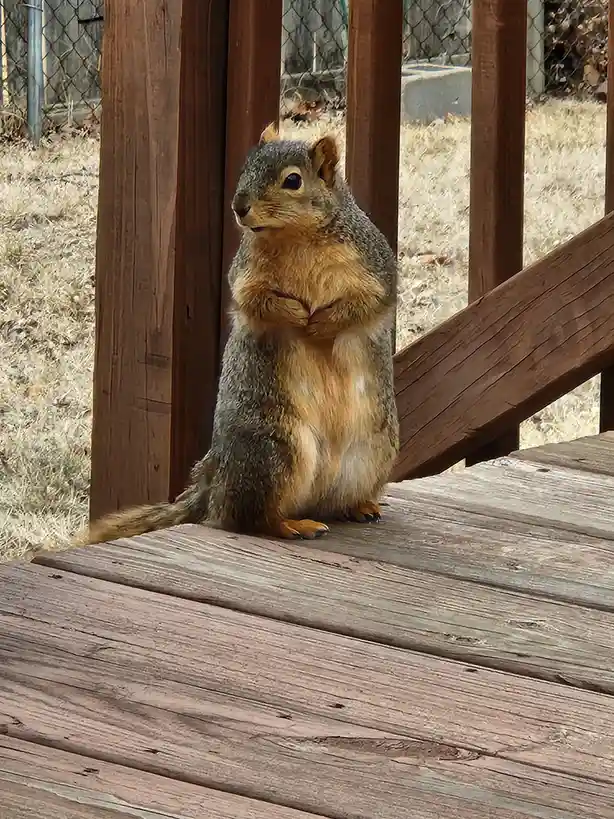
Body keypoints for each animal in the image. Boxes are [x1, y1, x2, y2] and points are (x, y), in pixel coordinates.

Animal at [75, 123, 399, 546]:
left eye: (293, 180)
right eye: (245, 167)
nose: (239, 206)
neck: (296, 237)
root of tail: (213, 485)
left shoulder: (375, 268)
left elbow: (368, 304)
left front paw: (322, 322)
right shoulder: (245, 276)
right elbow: (255, 303)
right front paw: (297, 315)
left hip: (372, 450)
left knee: (324, 501)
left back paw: (356, 507)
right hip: (272, 449)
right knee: (249, 517)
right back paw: (293, 525)